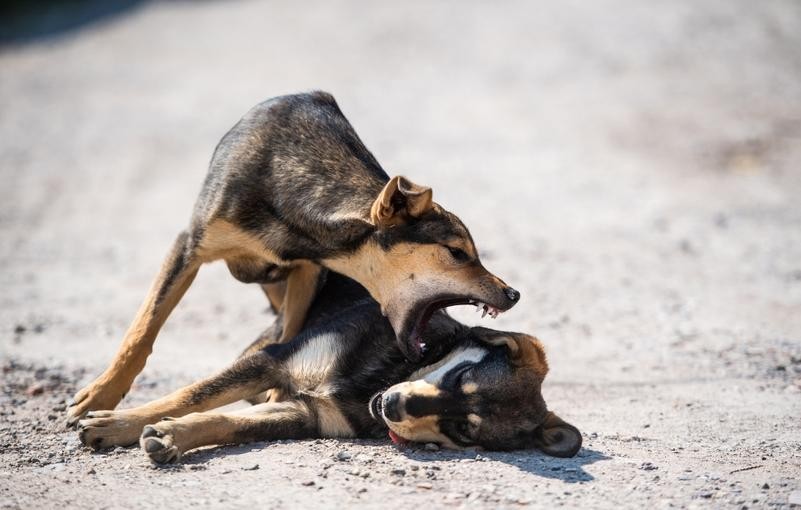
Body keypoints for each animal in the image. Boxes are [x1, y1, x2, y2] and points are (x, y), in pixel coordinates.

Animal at [65, 91, 520, 426]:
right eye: (457, 252)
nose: (513, 294)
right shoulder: (189, 246)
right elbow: (144, 327)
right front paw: (99, 396)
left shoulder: (307, 270)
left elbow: (292, 330)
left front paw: (275, 393)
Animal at [76, 272, 580, 460]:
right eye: (460, 376)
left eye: (462, 429)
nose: (393, 408)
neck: (388, 373)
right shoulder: (274, 362)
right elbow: (190, 395)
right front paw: (115, 423)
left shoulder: (307, 415)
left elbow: (224, 421)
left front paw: (172, 436)